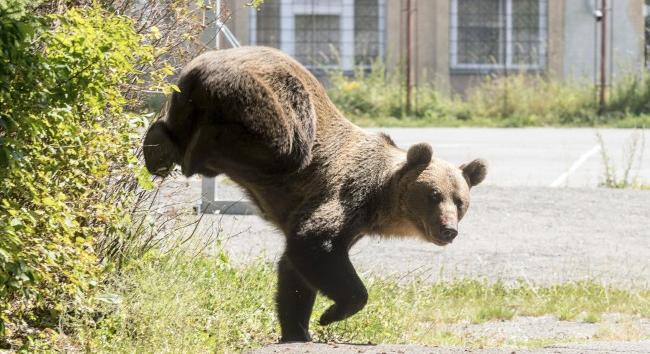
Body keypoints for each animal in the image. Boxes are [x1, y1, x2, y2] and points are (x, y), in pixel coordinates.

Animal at [143, 45, 486, 342]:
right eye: (433, 196)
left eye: (460, 202)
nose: (448, 229)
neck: (381, 201)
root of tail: (201, 64)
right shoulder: (347, 193)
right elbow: (314, 243)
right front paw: (331, 314)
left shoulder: (354, 224)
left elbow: (293, 272)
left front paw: (297, 328)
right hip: (269, 99)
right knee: (283, 143)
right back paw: (195, 150)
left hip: (186, 98)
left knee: (175, 127)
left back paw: (157, 147)